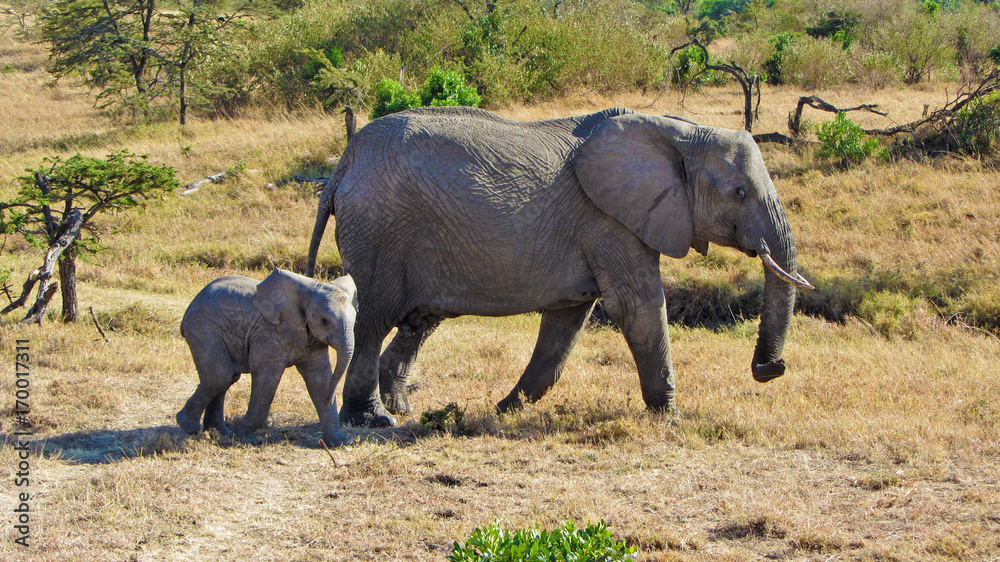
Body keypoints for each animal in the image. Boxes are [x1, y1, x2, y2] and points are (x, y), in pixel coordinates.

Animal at [176, 268, 357, 446]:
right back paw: (189, 427)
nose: (331, 398)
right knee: (219, 376)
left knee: (228, 378)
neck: (307, 291)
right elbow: (267, 378)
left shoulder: (311, 338)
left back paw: (219, 432)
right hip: (203, 328)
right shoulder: (269, 333)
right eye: (324, 321)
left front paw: (340, 443)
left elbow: (319, 378)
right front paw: (244, 439)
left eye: (355, 322)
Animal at [306, 106, 812, 427]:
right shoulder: (609, 219)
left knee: (419, 320)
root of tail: (342, 166)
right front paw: (670, 417)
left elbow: (567, 322)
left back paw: (403, 408)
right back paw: (373, 420)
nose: (771, 369)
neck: (678, 132)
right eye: (739, 193)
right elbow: (638, 309)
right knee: (373, 319)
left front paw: (505, 409)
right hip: (379, 231)